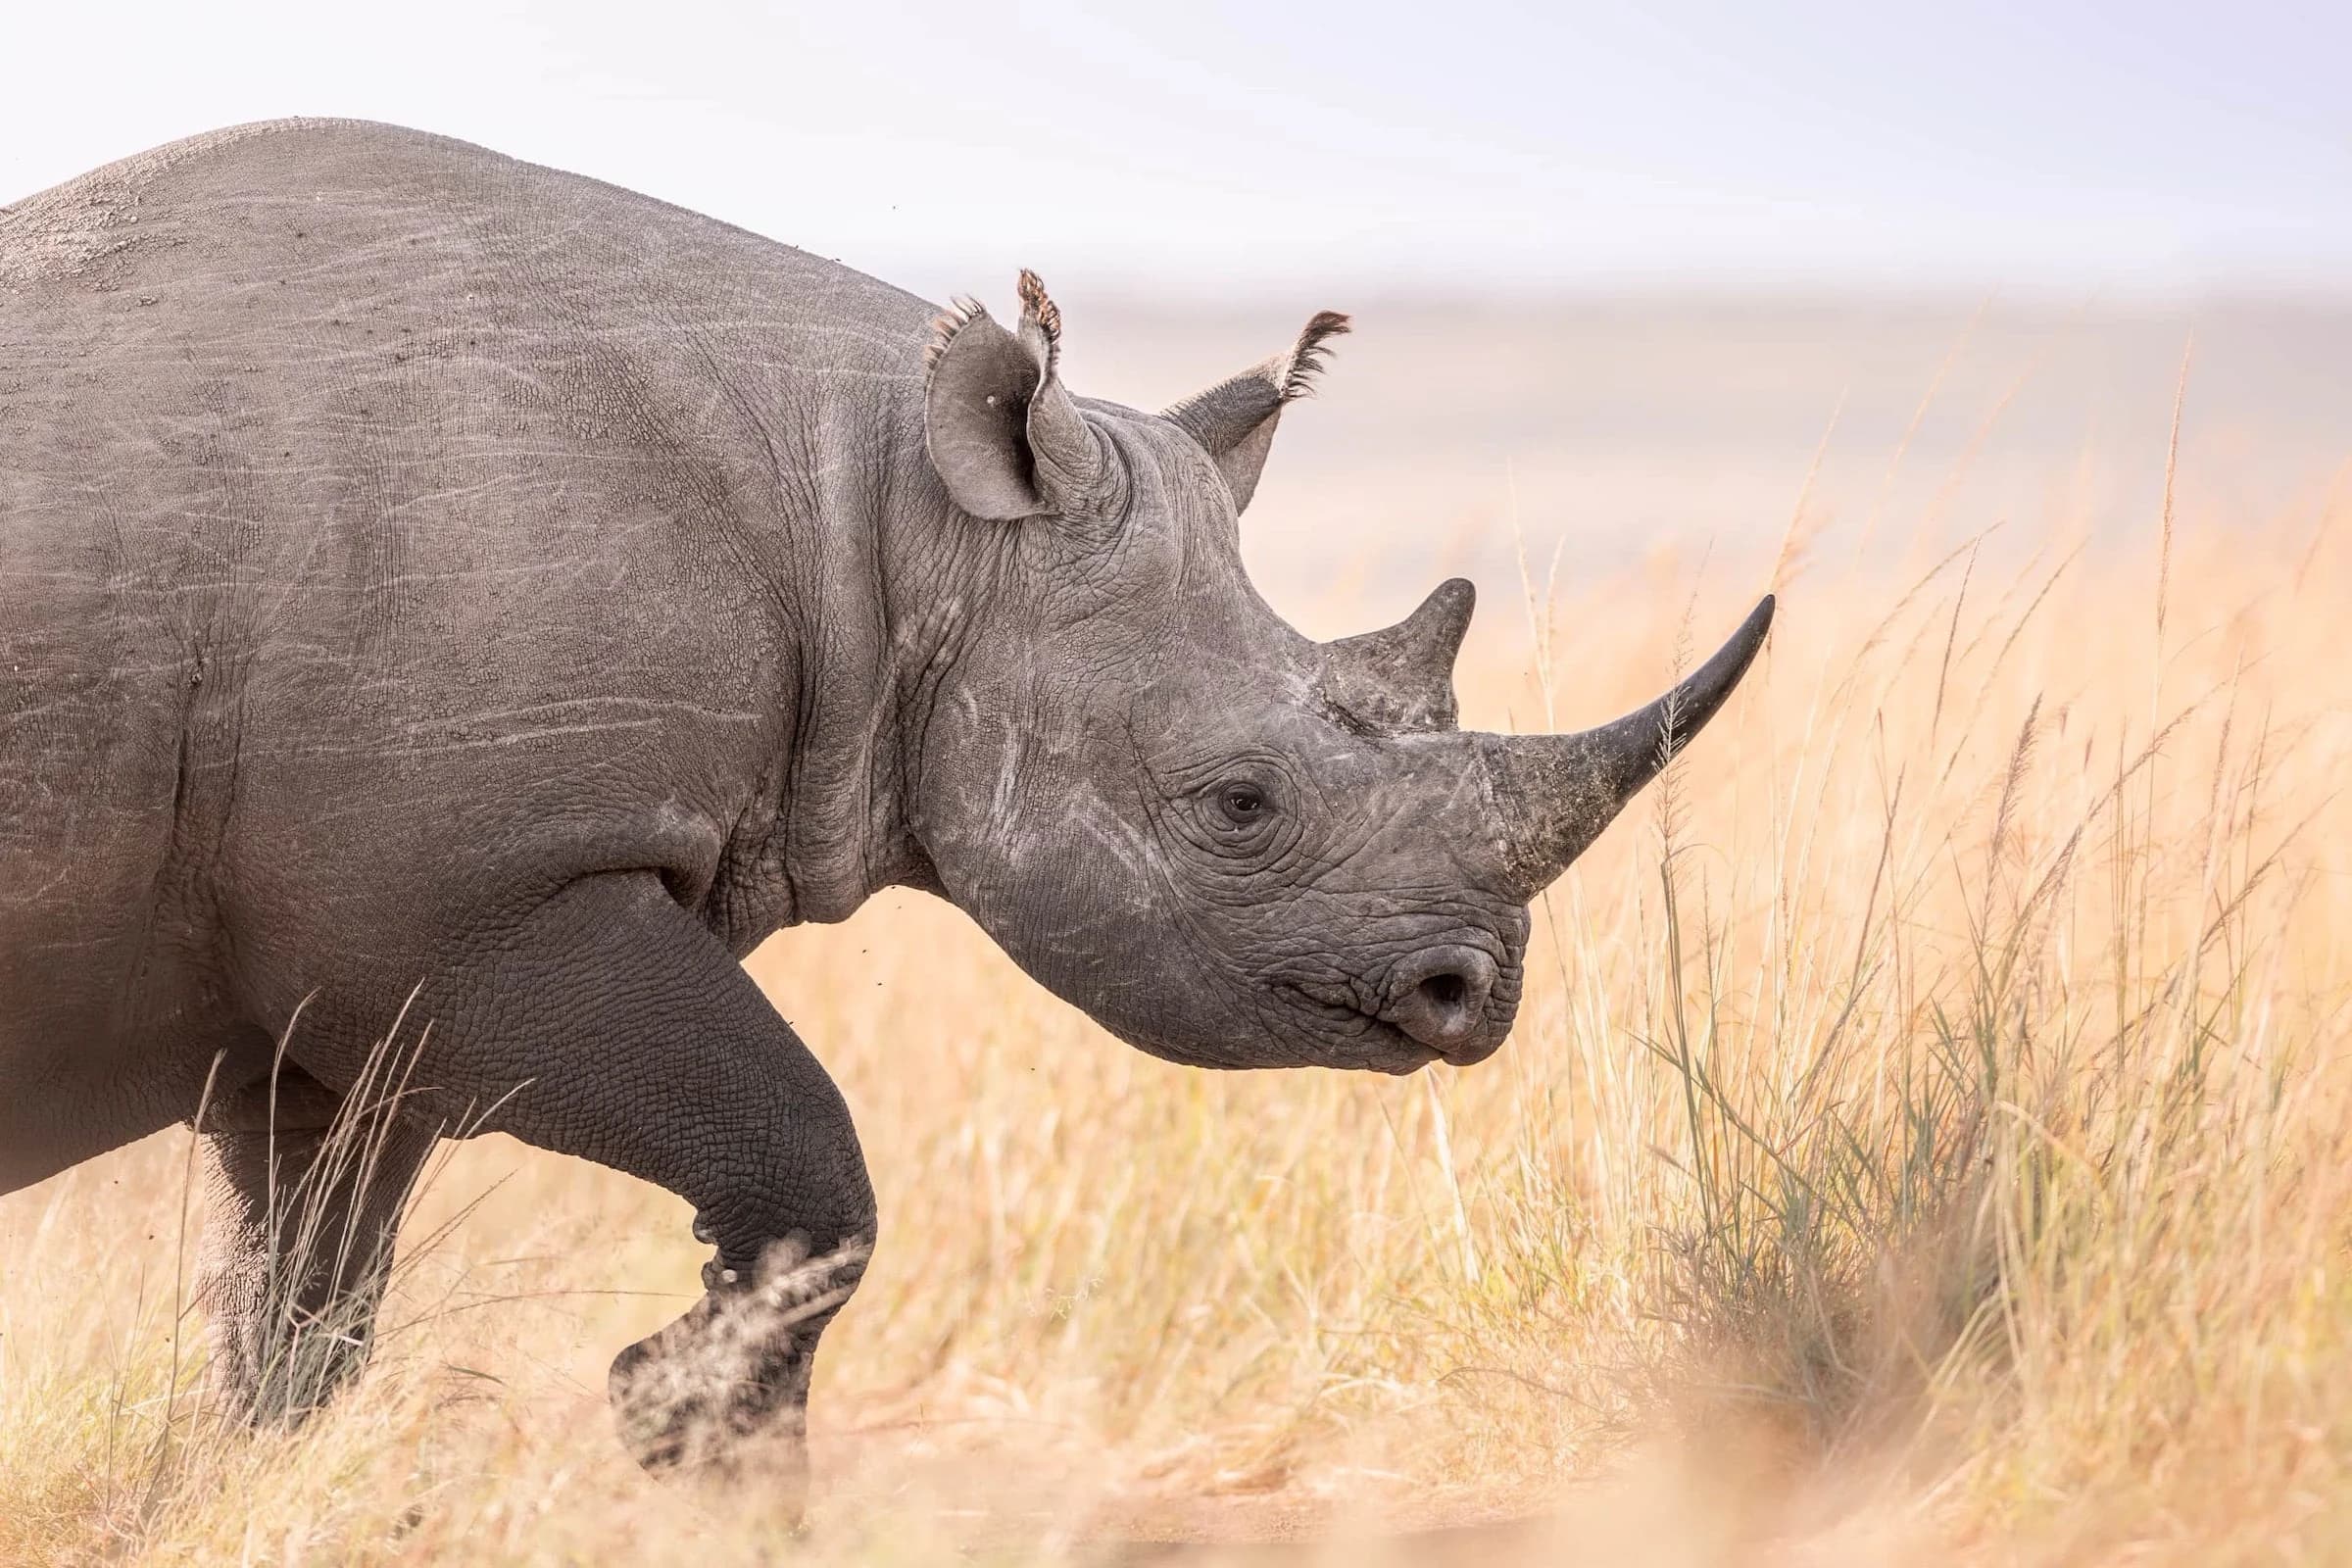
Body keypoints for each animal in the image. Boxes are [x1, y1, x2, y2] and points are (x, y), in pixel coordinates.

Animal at [0, 120, 1771, 1485]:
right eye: (1239, 806)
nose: (1475, 996)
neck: (892, 523)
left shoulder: (345, 1000)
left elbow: (299, 1319)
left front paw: (259, 1493)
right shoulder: (469, 910)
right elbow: (811, 1173)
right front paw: (685, 1428)